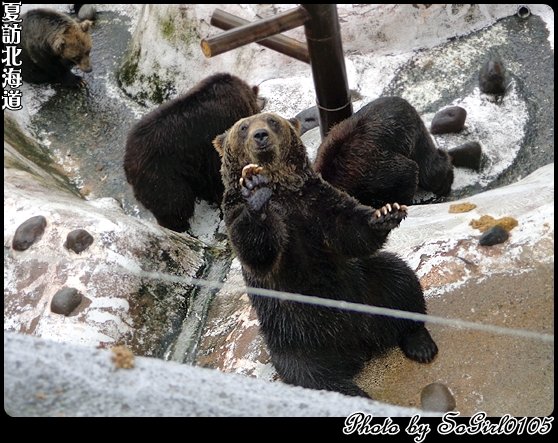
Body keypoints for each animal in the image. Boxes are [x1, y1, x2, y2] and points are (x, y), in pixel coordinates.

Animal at [213, 112, 438, 398]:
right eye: (243, 127)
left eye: (272, 121)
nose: (260, 135)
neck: (282, 191)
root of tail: (361, 346)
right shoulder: (239, 217)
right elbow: (259, 252)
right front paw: (254, 190)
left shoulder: (317, 202)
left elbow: (349, 229)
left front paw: (386, 213)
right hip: (292, 334)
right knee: (308, 372)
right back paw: (351, 391)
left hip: (367, 290)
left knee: (399, 279)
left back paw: (420, 343)